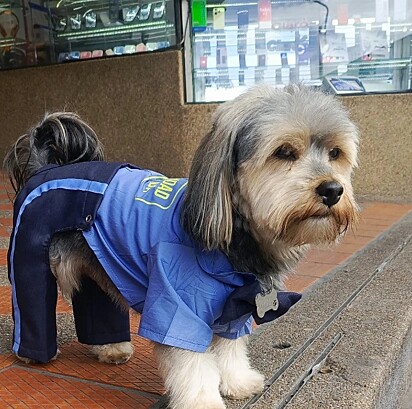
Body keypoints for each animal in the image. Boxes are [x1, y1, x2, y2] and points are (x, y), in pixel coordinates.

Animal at [4, 83, 358, 408]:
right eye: (284, 152)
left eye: (335, 153)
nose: (332, 190)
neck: (233, 238)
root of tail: (46, 168)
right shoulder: (178, 307)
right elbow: (193, 366)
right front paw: (203, 402)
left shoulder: (237, 306)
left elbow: (229, 350)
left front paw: (238, 382)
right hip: (29, 258)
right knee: (32, 303)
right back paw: (32, 355)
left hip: (97, 263)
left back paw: (111, 348)